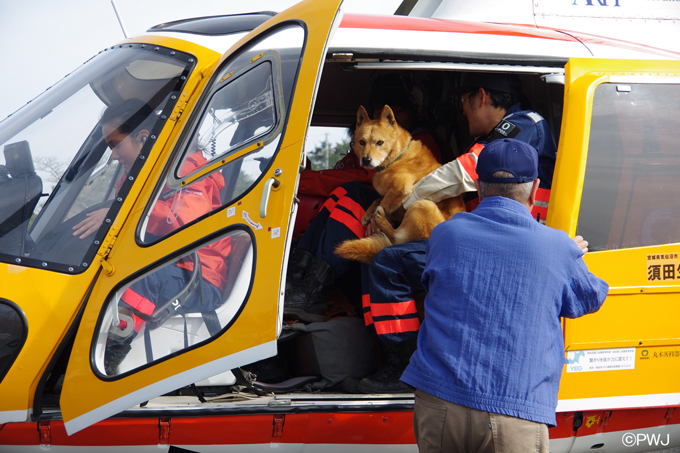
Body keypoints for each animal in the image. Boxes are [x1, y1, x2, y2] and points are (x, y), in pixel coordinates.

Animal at [336, 104, 468, 264]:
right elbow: (378, 199)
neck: (396, 157)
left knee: (396, 238)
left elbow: (383, 203)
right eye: (361, 142)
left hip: (423, 205)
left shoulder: (401, 188)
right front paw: (368, 214)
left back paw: (381, 220)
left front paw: (374, 220)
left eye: (380, 142)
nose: (366, 160)